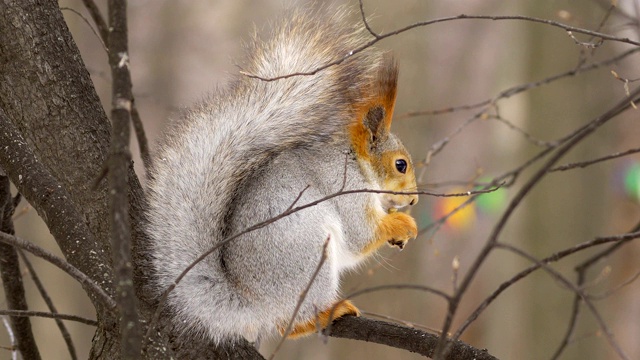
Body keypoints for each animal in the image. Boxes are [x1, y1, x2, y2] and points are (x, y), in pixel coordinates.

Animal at [148, 8, 422, 344]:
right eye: (401, 165)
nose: (414, 200)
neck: (357, 163)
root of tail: (254, 304)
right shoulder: (345, 188)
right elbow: (361, 235)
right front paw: (403, 224)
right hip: (310, 257)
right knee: (289, 324)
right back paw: (326, 313)